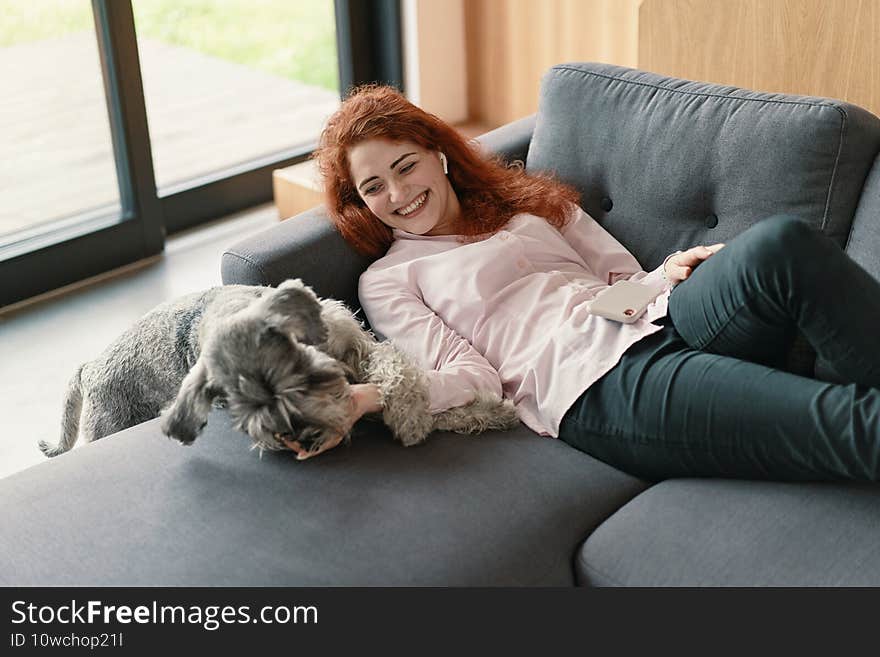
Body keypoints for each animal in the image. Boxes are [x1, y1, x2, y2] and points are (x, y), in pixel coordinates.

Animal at [41, 276, 520, 456]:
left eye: (292, 378)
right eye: (231, 405)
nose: (298, 437)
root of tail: (90, 366)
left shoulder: (358, 346)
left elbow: (401, 375)